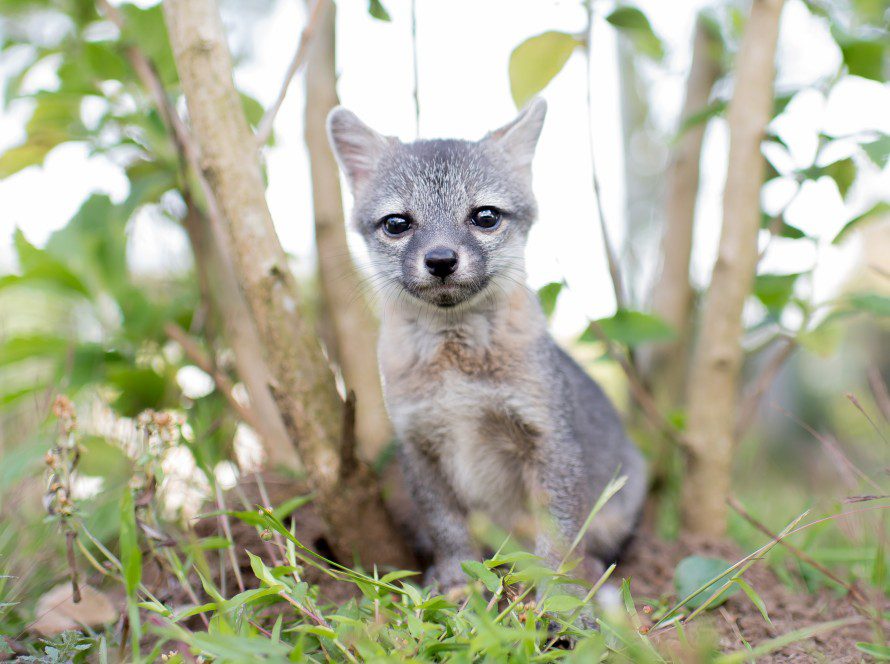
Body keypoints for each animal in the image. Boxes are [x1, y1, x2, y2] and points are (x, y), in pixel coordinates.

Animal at [327, 98, 646, 593]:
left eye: (485, 217)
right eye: (397, 224)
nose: (440, 260)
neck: (457, 366)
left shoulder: (547, 437)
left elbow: (557, 535)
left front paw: (559, 593)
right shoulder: (419, 445)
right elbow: (447, 526)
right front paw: (457, 580)